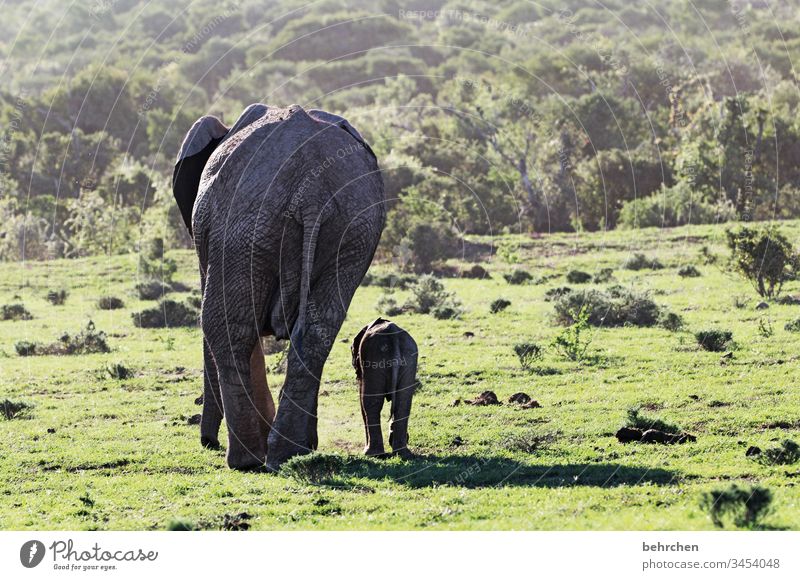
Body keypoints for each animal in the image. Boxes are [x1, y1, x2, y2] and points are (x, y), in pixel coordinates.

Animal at [173, 104, 386, 472]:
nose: (207, 441)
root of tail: (311, 187)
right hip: (353, 227)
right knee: (317, 331)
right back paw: (286, 451)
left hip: (245, 223)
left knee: (225, 327)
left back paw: (246, 458)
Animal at [354, 318, 422, 458]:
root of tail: (393, 334)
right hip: (409, 357)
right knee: (403, 403)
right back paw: (403, 453)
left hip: (374, 358)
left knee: (371, 403)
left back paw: (372, 454)